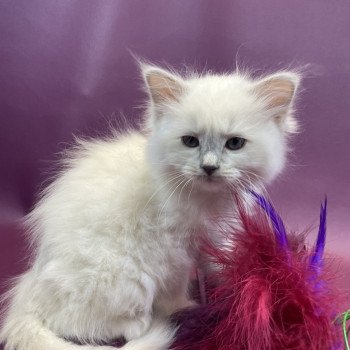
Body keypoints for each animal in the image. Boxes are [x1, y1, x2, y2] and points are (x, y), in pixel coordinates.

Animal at [0, 63, 300, 350]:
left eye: (235, 143)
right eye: (190, 141)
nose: (209, 167)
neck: (206, 199)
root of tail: (29, 290)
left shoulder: (215, 237)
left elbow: (217, 268)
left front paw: (228, 297)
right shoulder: (173, 251)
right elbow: (175, 289)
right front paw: (186, 308)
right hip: (122, 277)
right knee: (75, 323)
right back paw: (143, 323)